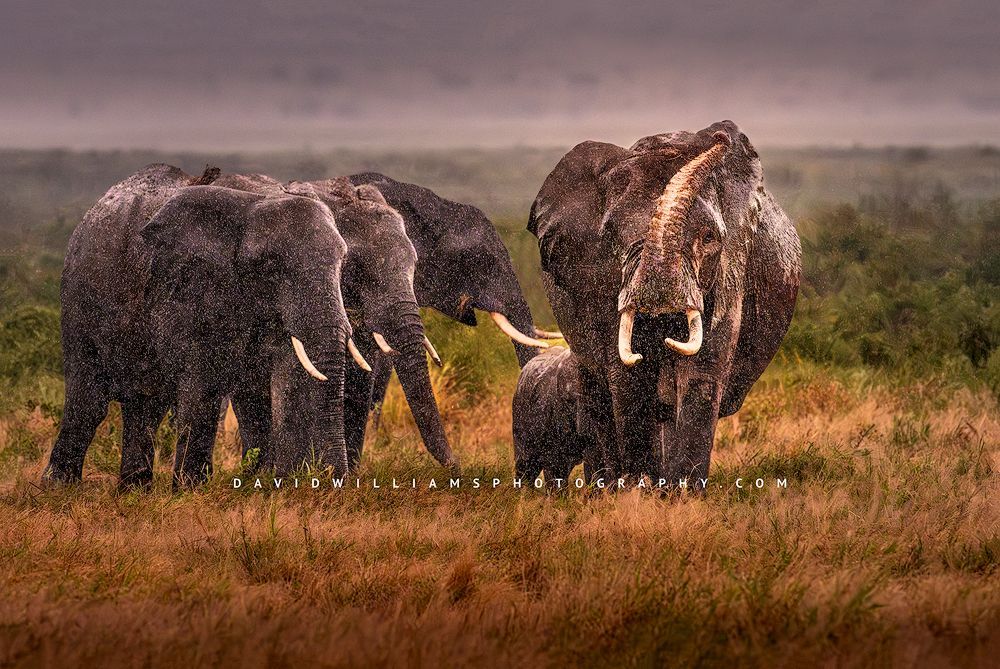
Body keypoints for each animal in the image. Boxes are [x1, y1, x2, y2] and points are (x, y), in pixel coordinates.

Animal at [45, 164, 359, 487]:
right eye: (269, 266)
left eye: (342, 263)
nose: (338, 480)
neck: (252, 204)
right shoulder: (184, 286)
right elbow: (201, 384)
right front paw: (190, 489)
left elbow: (284, 379)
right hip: (78, 299)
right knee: (88, 402)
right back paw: (59, 487)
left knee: (145, 407)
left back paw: (133, 491)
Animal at [527, 121, 801, 486]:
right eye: (611, 236)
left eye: (709, 238)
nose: (720, 135)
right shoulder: (597, 282)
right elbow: (627, 374)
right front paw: (637, 491)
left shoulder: (732, 266)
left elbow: (701, 372)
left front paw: (681, 493)